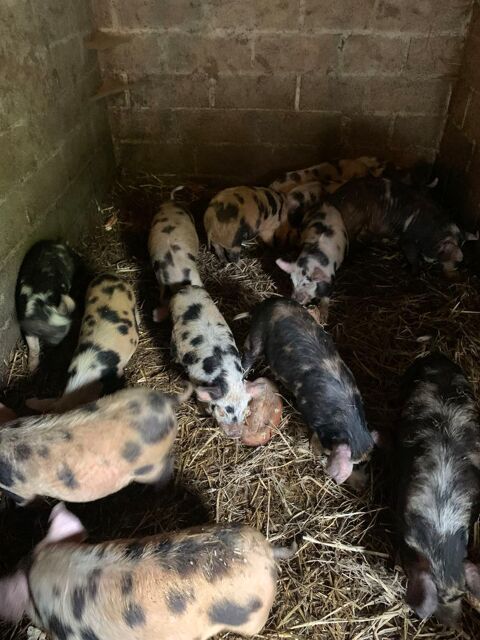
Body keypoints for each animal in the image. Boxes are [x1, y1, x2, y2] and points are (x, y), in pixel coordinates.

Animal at [0, 387, 179, 505]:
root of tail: (166, 403)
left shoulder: (19, 490)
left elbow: (24, 500)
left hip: (147, 467)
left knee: (167, 465)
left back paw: (158, 490)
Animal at [16, 240, 76, 372]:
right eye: (50, 333)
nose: (57, 344)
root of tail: (57, 244)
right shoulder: (26, 321)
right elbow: (33, 346)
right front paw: (32, 368)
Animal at [170, 285, 264, 436]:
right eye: (222, 411)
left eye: (243, 410)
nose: (235, 434)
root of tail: (188, 288)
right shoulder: (194, 376)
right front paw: (202, 409)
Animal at [242, 297, 374, 483]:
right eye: (353, 466)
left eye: (365, 464)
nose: (364, 485)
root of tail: (268, 302)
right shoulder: (312, 415)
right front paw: (314, 449)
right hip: (257, 334)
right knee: (248, 354)